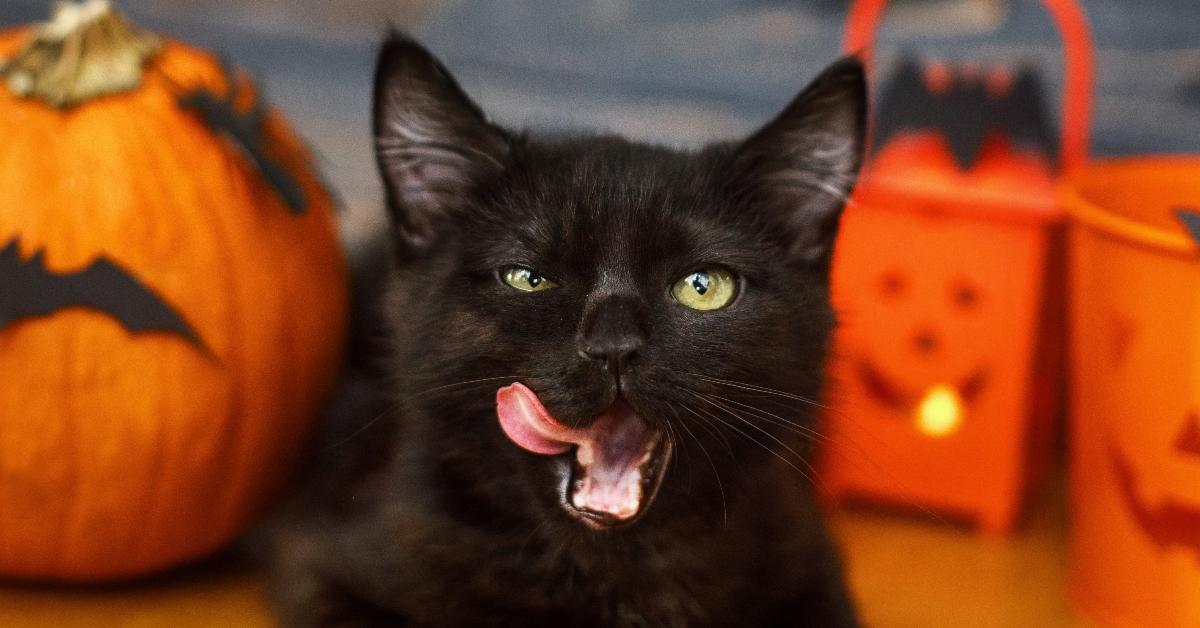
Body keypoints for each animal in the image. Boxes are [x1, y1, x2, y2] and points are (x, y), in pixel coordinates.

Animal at [274, 34, 864, 628]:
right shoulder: (325, 564)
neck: (614, 572)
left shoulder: (812, 567)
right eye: (528, 278)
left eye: (704, 287)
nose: (613, 348)